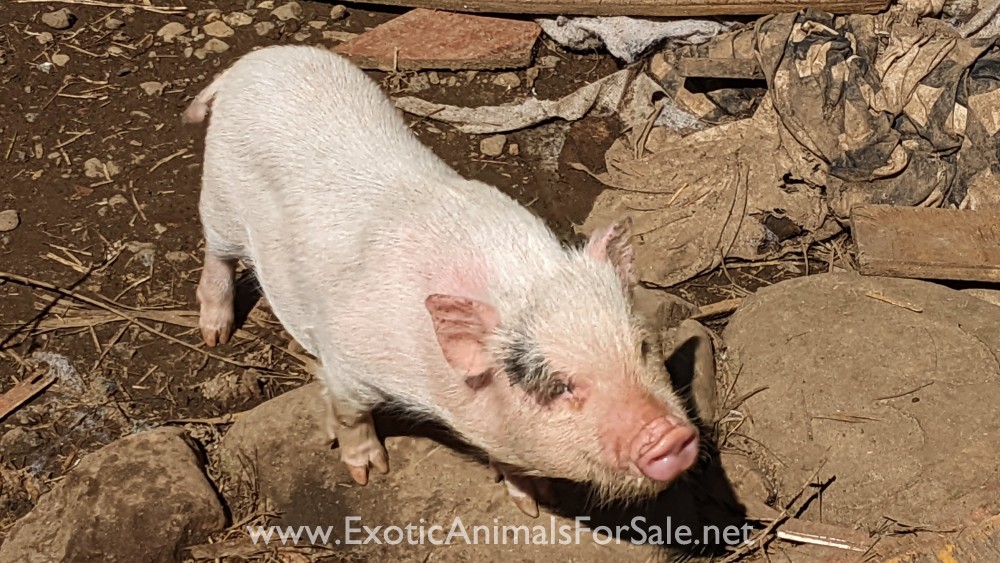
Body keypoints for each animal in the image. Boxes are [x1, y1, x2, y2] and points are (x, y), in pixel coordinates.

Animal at [184, 45, 700, 517]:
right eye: (560, 385)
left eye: (643, 348)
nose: (670, 435)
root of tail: (249, 63)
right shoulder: (348, 361)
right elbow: (351, 413)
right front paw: (369, 472)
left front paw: (534, 503)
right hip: (220, 198)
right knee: (217, 254)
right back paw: (215, 334)